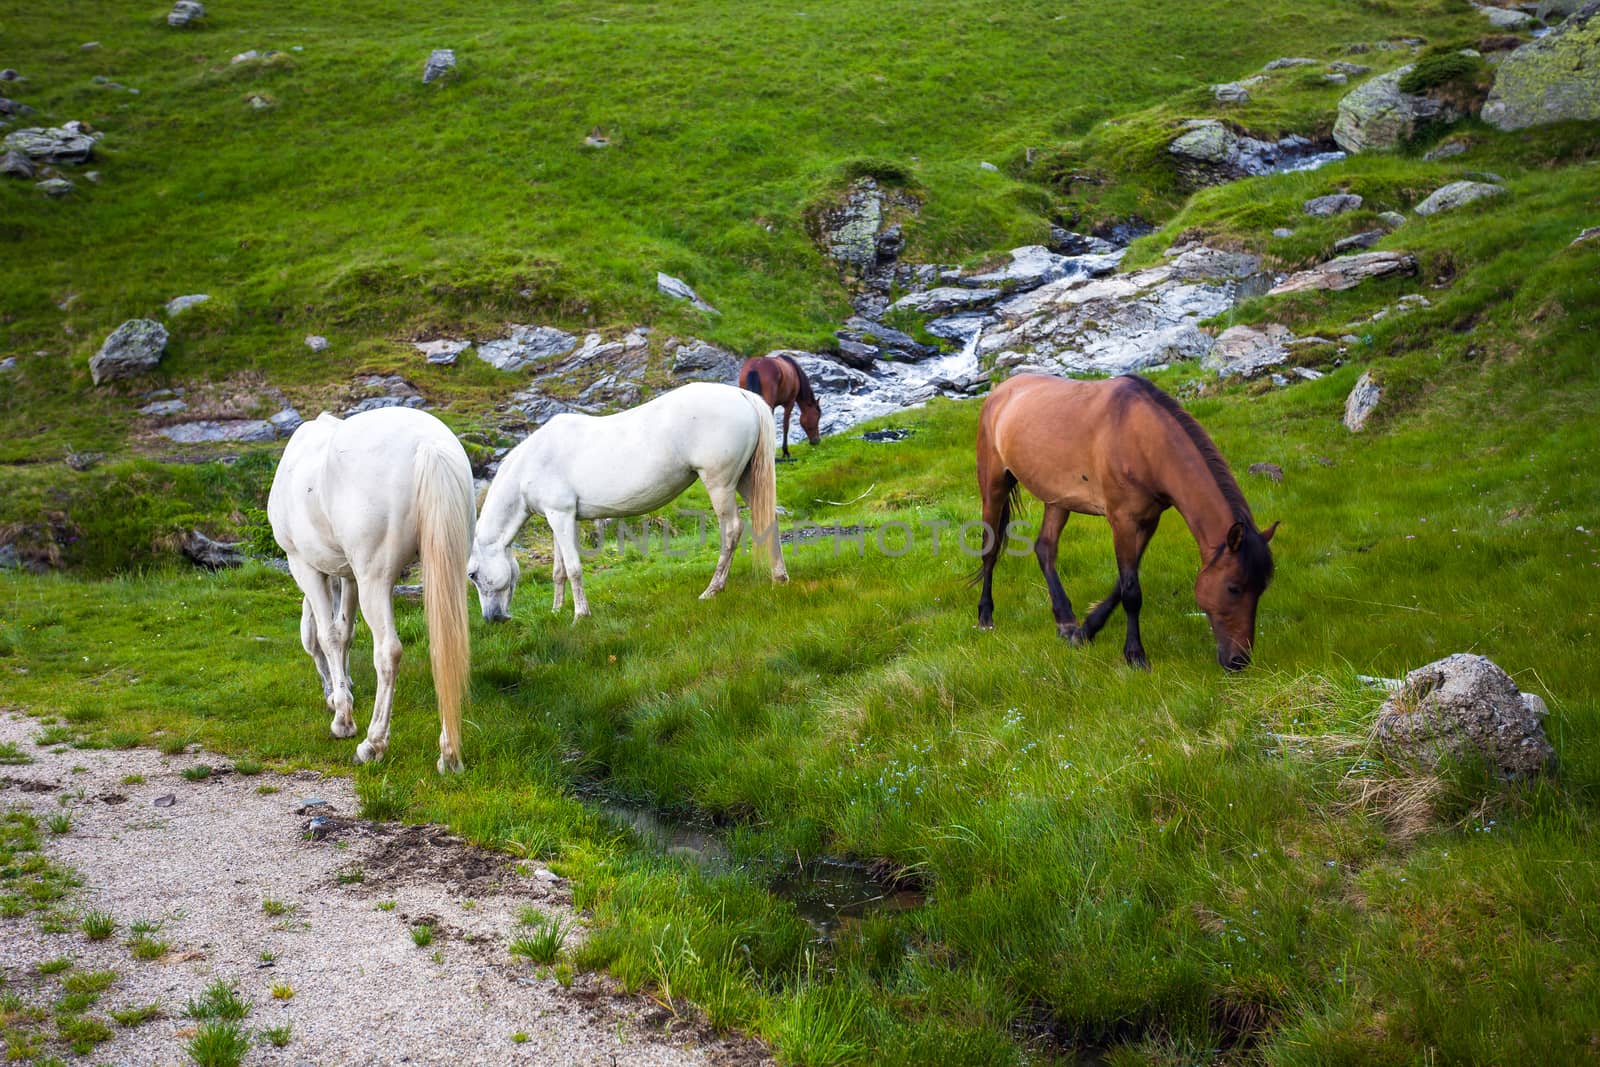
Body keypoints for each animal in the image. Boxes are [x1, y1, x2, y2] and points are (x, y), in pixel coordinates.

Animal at [262, 409, 470, 777]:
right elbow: (345, 632)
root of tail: (428, 444)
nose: (328, 693)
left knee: (388, 652)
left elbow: (327, 635)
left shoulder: (304, 565)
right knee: (447, 645)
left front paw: (342, 717)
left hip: (375, 580)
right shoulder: (350, 577)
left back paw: (372, 745)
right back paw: (449, 755)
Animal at [972, 375, 1273, 671]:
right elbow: (1131, 591)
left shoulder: (1148, 521)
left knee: (1045, 549)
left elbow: (1122, 583)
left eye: (1262, 588)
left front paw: (1085, 632)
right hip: (994, 486)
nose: (1239, 661)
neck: (1143, 440)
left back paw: (1065, 621)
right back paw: (985, 615)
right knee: (990, 550)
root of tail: (999, 392)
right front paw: (1135, 654)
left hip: (1057, 500)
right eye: (1233, 588)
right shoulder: (1122, 521)